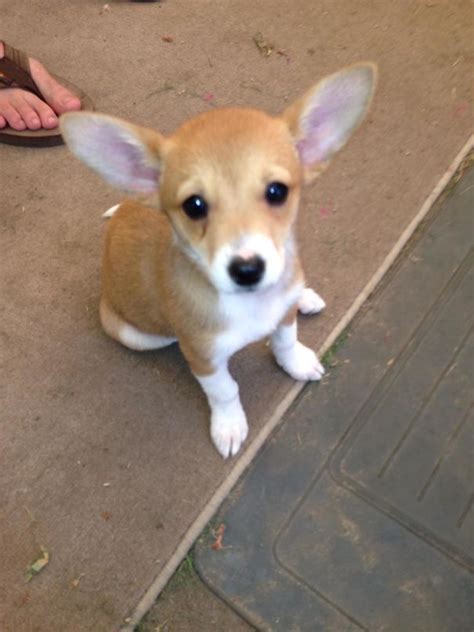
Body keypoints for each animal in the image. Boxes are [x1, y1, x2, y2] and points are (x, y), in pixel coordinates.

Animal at [60, 61, 378, 460]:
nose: (247, 270)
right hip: (134, 335)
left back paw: (305, 296)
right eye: (194, 205)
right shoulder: (204, 359)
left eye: (277, 191)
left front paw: (296, 361)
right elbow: (226, 390)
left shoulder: (282, 314)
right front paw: (229, 426)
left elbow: (286, 341)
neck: (252, 304)